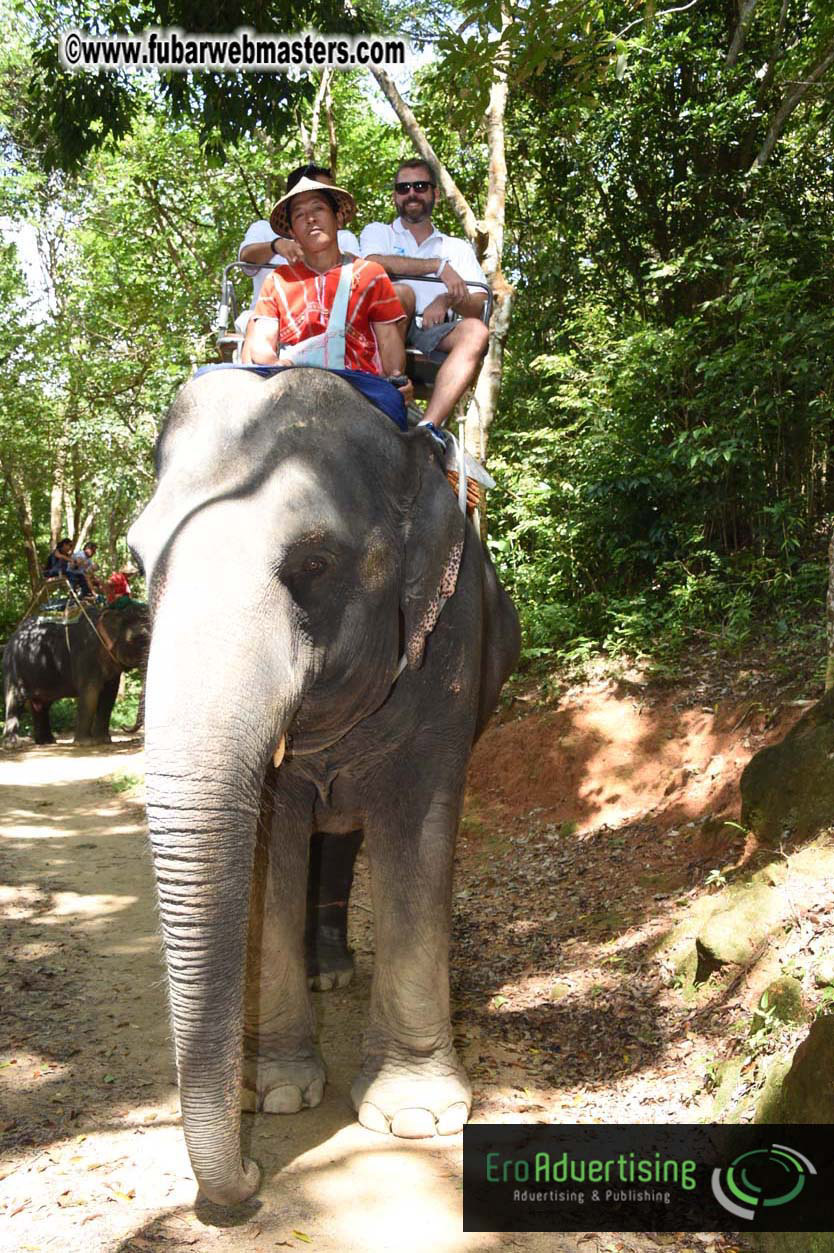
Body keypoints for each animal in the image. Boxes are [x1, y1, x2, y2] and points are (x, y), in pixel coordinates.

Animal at [3, 601, 150, 744]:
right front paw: (85, 743)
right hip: (14, 666)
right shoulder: (85, 654)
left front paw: (104, 741)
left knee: (41, 706)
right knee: (15, 700)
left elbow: (109, 697)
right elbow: (90, 694)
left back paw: (46, 741)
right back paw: (13, 744)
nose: (123, 726)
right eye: (140, 638)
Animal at [128, 366, 520, 1206]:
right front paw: (274, 1092)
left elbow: (417, 837)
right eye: (139, 560)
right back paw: (323, 971)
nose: (248, 1176)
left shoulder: (450, 656)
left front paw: (413, 1116)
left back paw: (335, 970)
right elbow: (272, 847)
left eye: (314, 564)